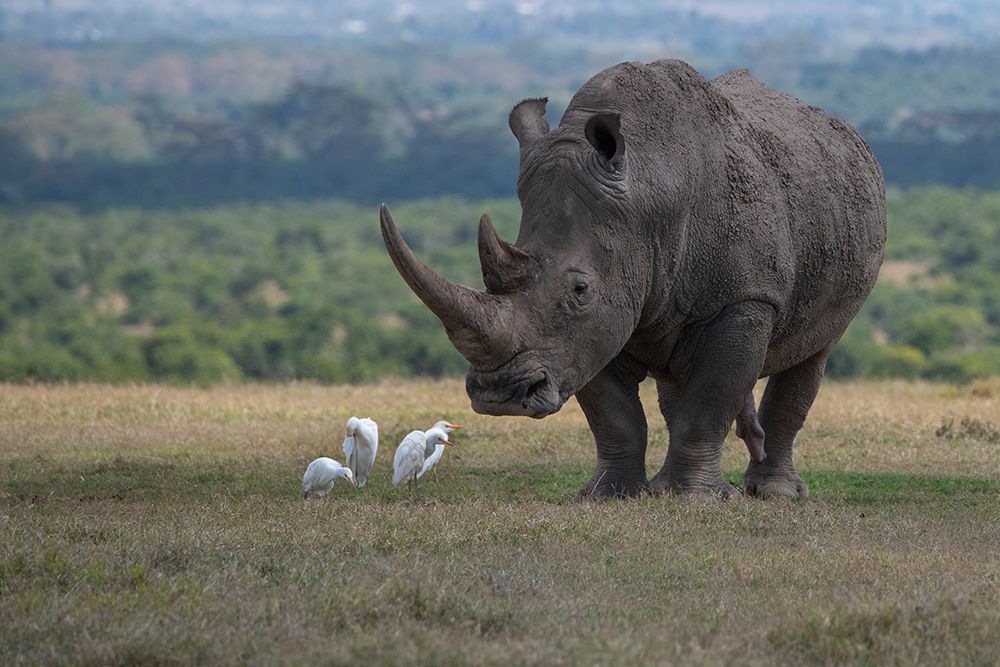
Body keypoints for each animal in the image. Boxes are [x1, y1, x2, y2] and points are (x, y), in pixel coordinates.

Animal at [380, 59, 885, 499]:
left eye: (579, 290)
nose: (499, 395)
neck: (649, 194)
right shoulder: (597, 323)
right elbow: (615, 414)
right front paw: (608, 496)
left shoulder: (744, 301)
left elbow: (709, 400)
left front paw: (693, 501)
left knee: (813, 352)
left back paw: (774, 494)